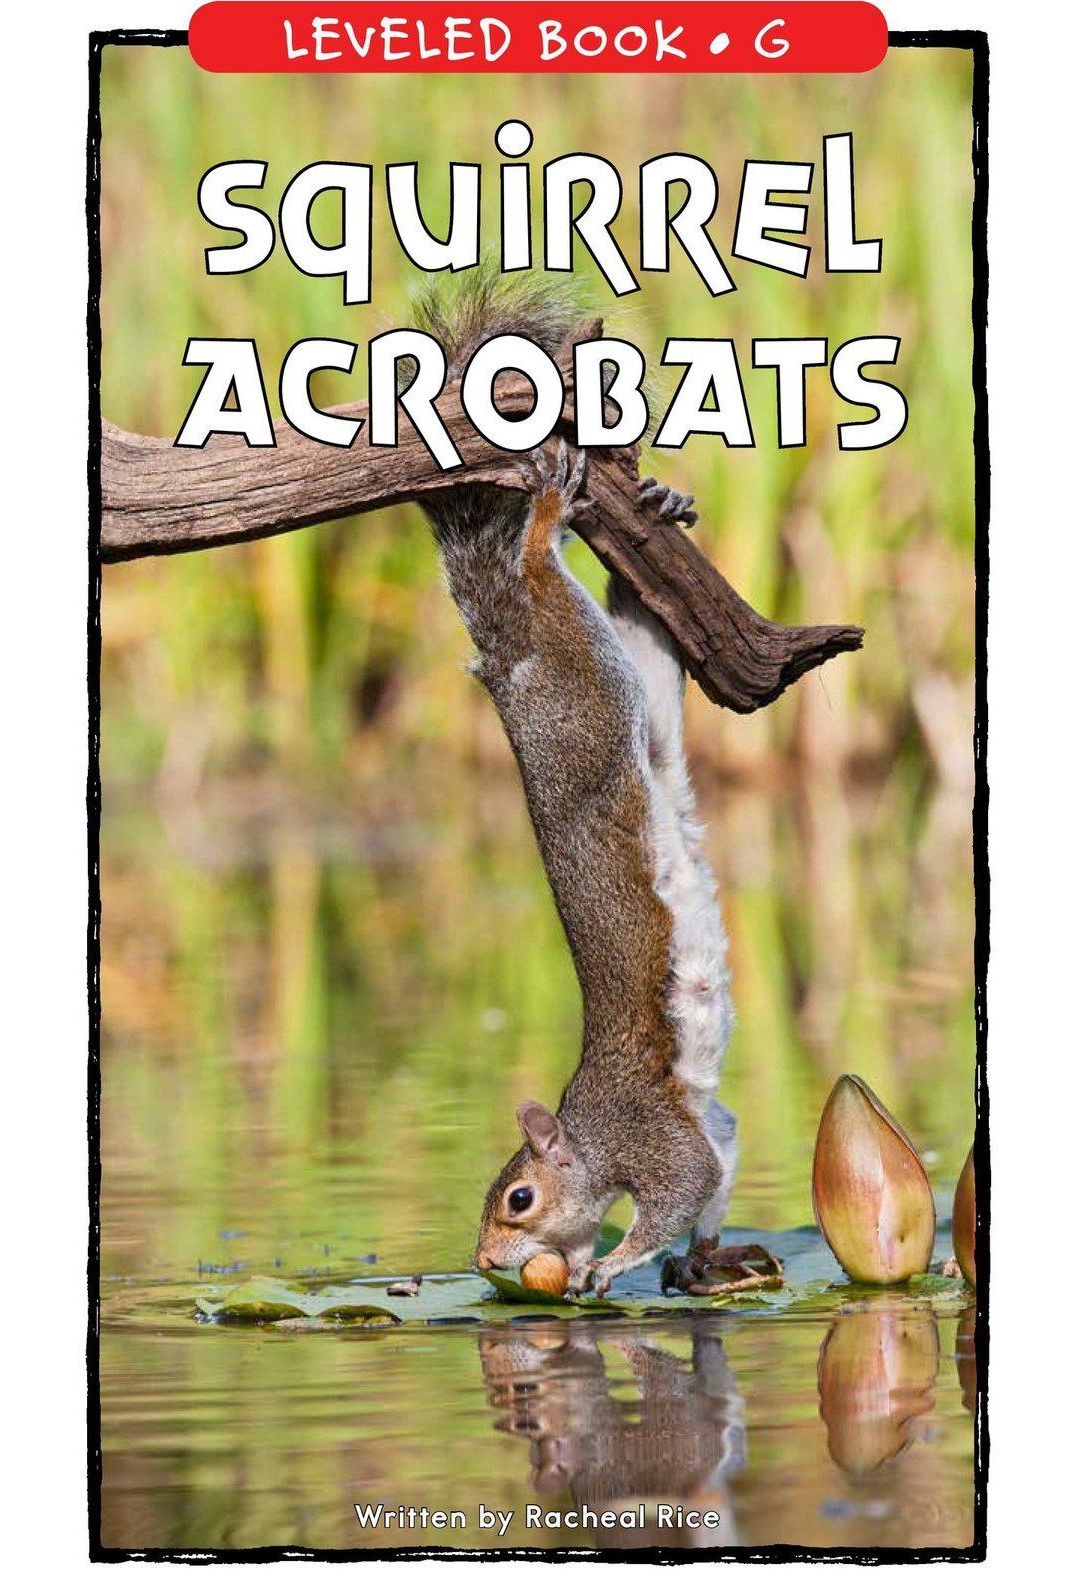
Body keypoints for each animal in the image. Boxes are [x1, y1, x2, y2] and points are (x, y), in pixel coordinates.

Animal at [417, 276, 737, 1296]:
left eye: (518, 1199)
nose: (485, 1261)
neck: (590, 1137)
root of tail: (509, 666)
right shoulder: (708, 1123)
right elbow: (721, 1169)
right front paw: (696, 1262)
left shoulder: (657, 1136)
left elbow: (684, 1187)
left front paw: (619, 1263)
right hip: (641, 697)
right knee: (649, 629)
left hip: (582, 687)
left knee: (539, 574)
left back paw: (554, 518)